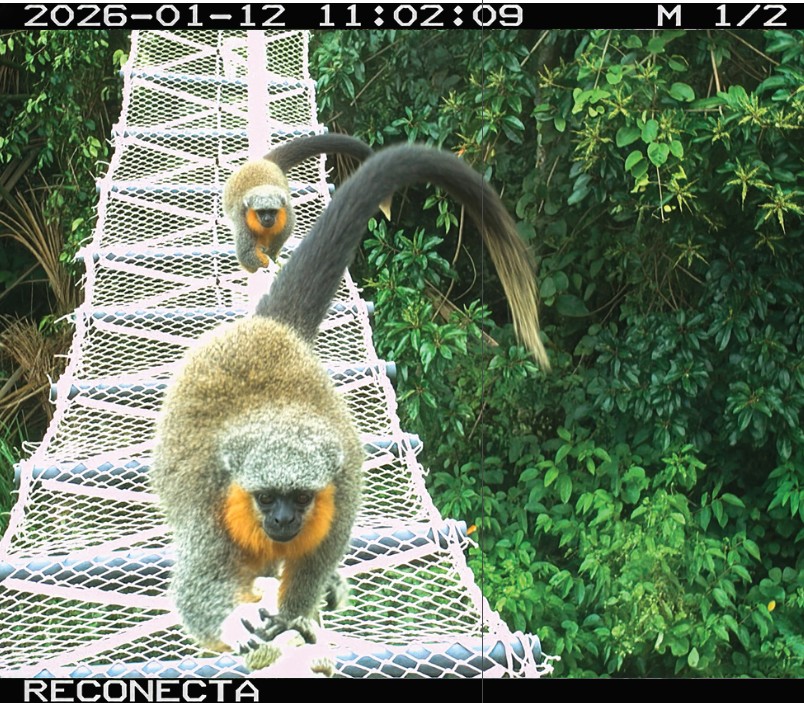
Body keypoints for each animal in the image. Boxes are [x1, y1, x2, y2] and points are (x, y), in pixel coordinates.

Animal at [222, 132, 390, 272]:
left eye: (272, 211)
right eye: (262, 212)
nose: (268, 219)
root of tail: (264, 163)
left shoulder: (285, 211)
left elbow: (286, 230)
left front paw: (271, 254)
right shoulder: (242, 218)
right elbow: (245, 253)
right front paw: (262, 261)